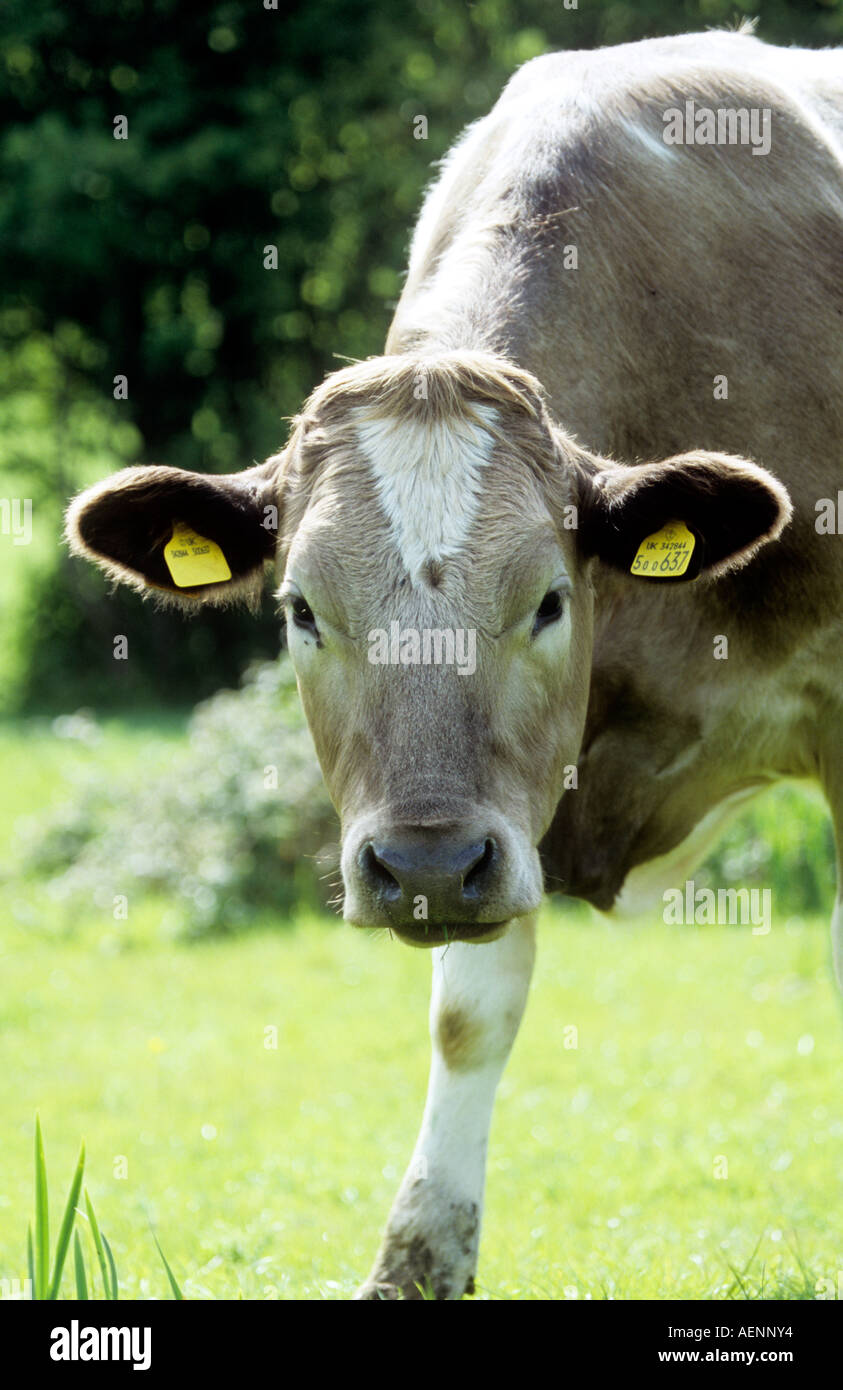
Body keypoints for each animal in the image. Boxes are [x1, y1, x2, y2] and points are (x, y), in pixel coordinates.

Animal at [67, 27, 843, 1295]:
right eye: (300, 610)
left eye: (549, 600)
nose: (424, 867)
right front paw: (417, 1257)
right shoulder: (497, 814)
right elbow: (470, 1015)